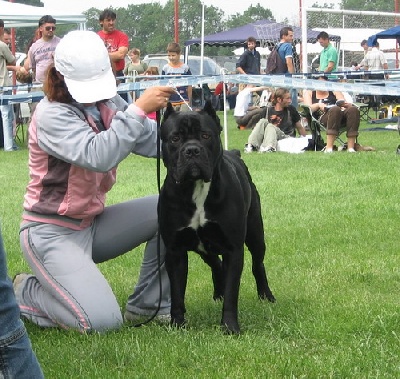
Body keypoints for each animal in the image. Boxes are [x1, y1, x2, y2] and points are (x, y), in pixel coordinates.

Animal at [159, 101, 276, 336]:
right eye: (175, 138)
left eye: (205, 135)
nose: (192, 150)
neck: (195, 190)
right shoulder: (175, 251)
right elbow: (177, 293)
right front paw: (177, 325)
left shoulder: (233, 248)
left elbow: (232, 293)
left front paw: (230, 327)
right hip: (202, 246)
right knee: (216, 263)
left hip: (255, 234)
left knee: (257, 264)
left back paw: (265, 295)